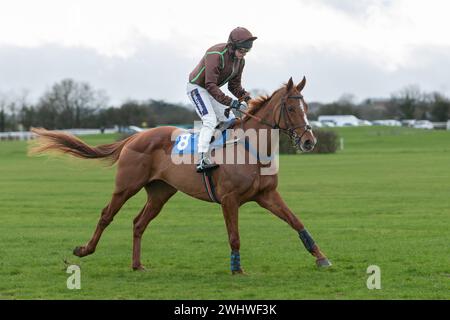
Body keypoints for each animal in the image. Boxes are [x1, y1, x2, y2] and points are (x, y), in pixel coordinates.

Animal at [29, 76, 330, 274]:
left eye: (307, 108)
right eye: (291, 108)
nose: (309, 141)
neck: (251, 148)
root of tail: (135, 136)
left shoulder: (267, 195)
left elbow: (297, 222)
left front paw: (321, 257)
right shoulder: (230, 199)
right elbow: (234, 236)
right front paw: (237, 269)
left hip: (160, 192)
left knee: (139, 223)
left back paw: (137, 265)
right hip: (126, 186)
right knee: (106, 215)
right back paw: (84, 250)